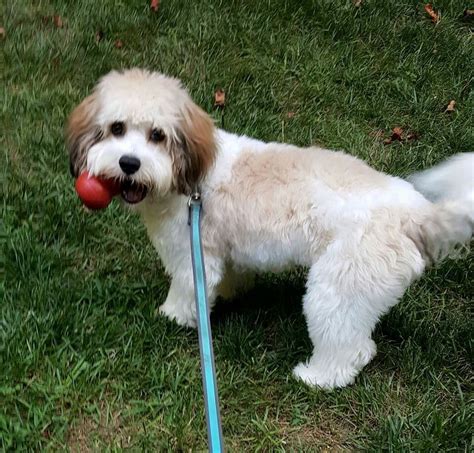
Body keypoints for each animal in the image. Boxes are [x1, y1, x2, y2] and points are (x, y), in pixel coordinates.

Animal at [67, 68, 474, 388]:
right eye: (117, 128)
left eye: (158, 135)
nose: (129, 163)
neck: (190, 180)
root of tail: (417, 216)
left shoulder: (191, 255)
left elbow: (184, 292)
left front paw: (175, 316)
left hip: (338, 289)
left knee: (353, 348)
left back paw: (317, 377)